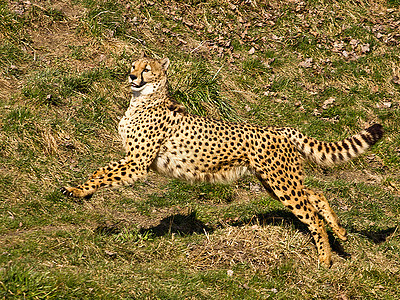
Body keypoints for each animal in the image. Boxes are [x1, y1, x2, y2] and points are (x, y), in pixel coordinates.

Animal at [61, 54, 382, 268]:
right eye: (133, 66)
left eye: (147, 70)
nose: (131, 77)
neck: (142, 100)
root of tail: (278, 128)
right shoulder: (135, 160)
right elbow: (102, 170)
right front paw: (80, 191)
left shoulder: (138, 163)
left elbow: (104, 172)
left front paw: (78, 190)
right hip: (275, 180)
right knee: (315, 194)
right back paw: (340, 231)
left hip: (281, 182)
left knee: (311, 213)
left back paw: (325, 259)